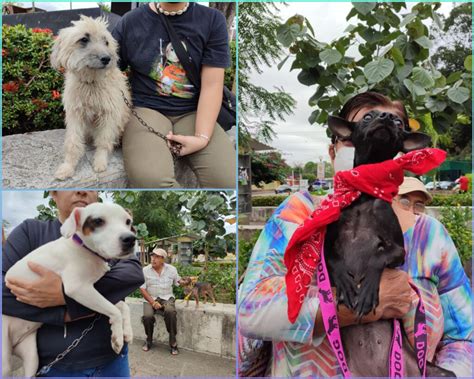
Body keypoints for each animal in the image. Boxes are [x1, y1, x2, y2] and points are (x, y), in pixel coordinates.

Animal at [3, 203, 137, 378]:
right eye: (98, 221)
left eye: (128, 222)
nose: (130, 239)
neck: (85, 249)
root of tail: (14, 344)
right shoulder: (78, 288)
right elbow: (114, 311)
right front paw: (117, 337)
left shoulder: (97, 289)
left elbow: (122, 306)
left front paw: (126, 332)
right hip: (4, 359)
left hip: (32, 357)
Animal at [50, 15, 131, 179]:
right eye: (84, 39)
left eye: (106, 42)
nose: (107, 58)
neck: (91, 83)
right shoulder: (75, 114)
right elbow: (73, 142)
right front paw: (68, 167)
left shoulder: (109, 115)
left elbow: (103, 141)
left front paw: (100, 162)